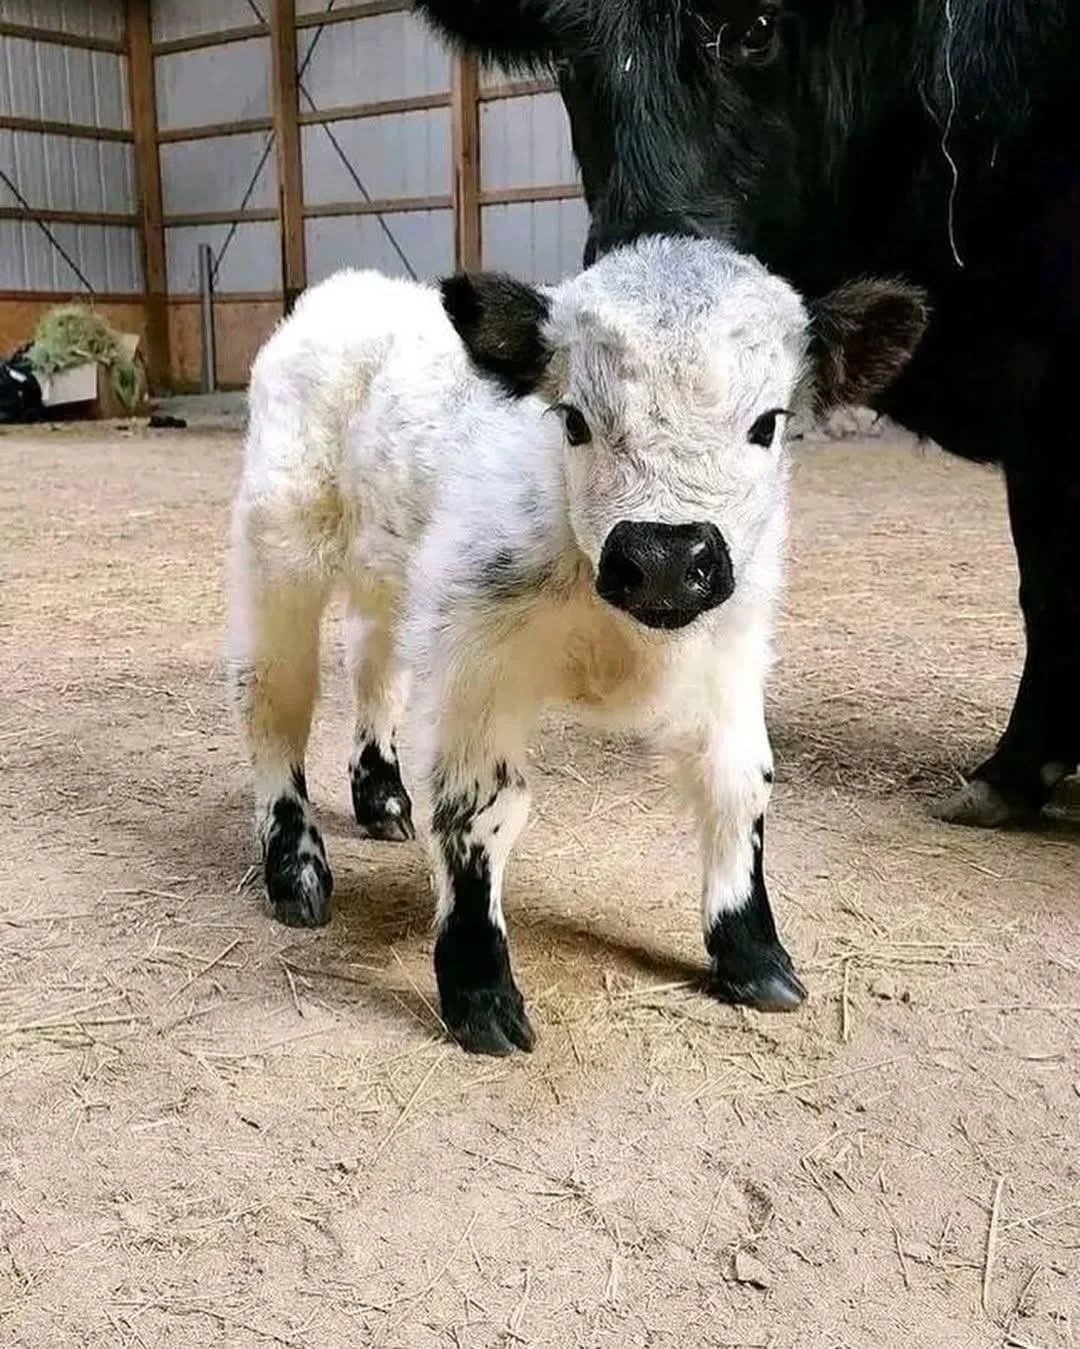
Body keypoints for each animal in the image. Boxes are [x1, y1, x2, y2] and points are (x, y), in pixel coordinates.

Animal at [227, 236, 926, 1054]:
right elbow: (478, 807)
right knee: (275, 699)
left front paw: (753, 955)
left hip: (390, 573)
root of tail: (349, 288)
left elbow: (739, 781)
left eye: (767, 424)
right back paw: (296, 871)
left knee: (374, 662)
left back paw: (381, 795)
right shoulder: (474, 652)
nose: (663, 557)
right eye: (573, 422)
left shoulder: (732, 646)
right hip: (281, 539)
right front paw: (480, 992)